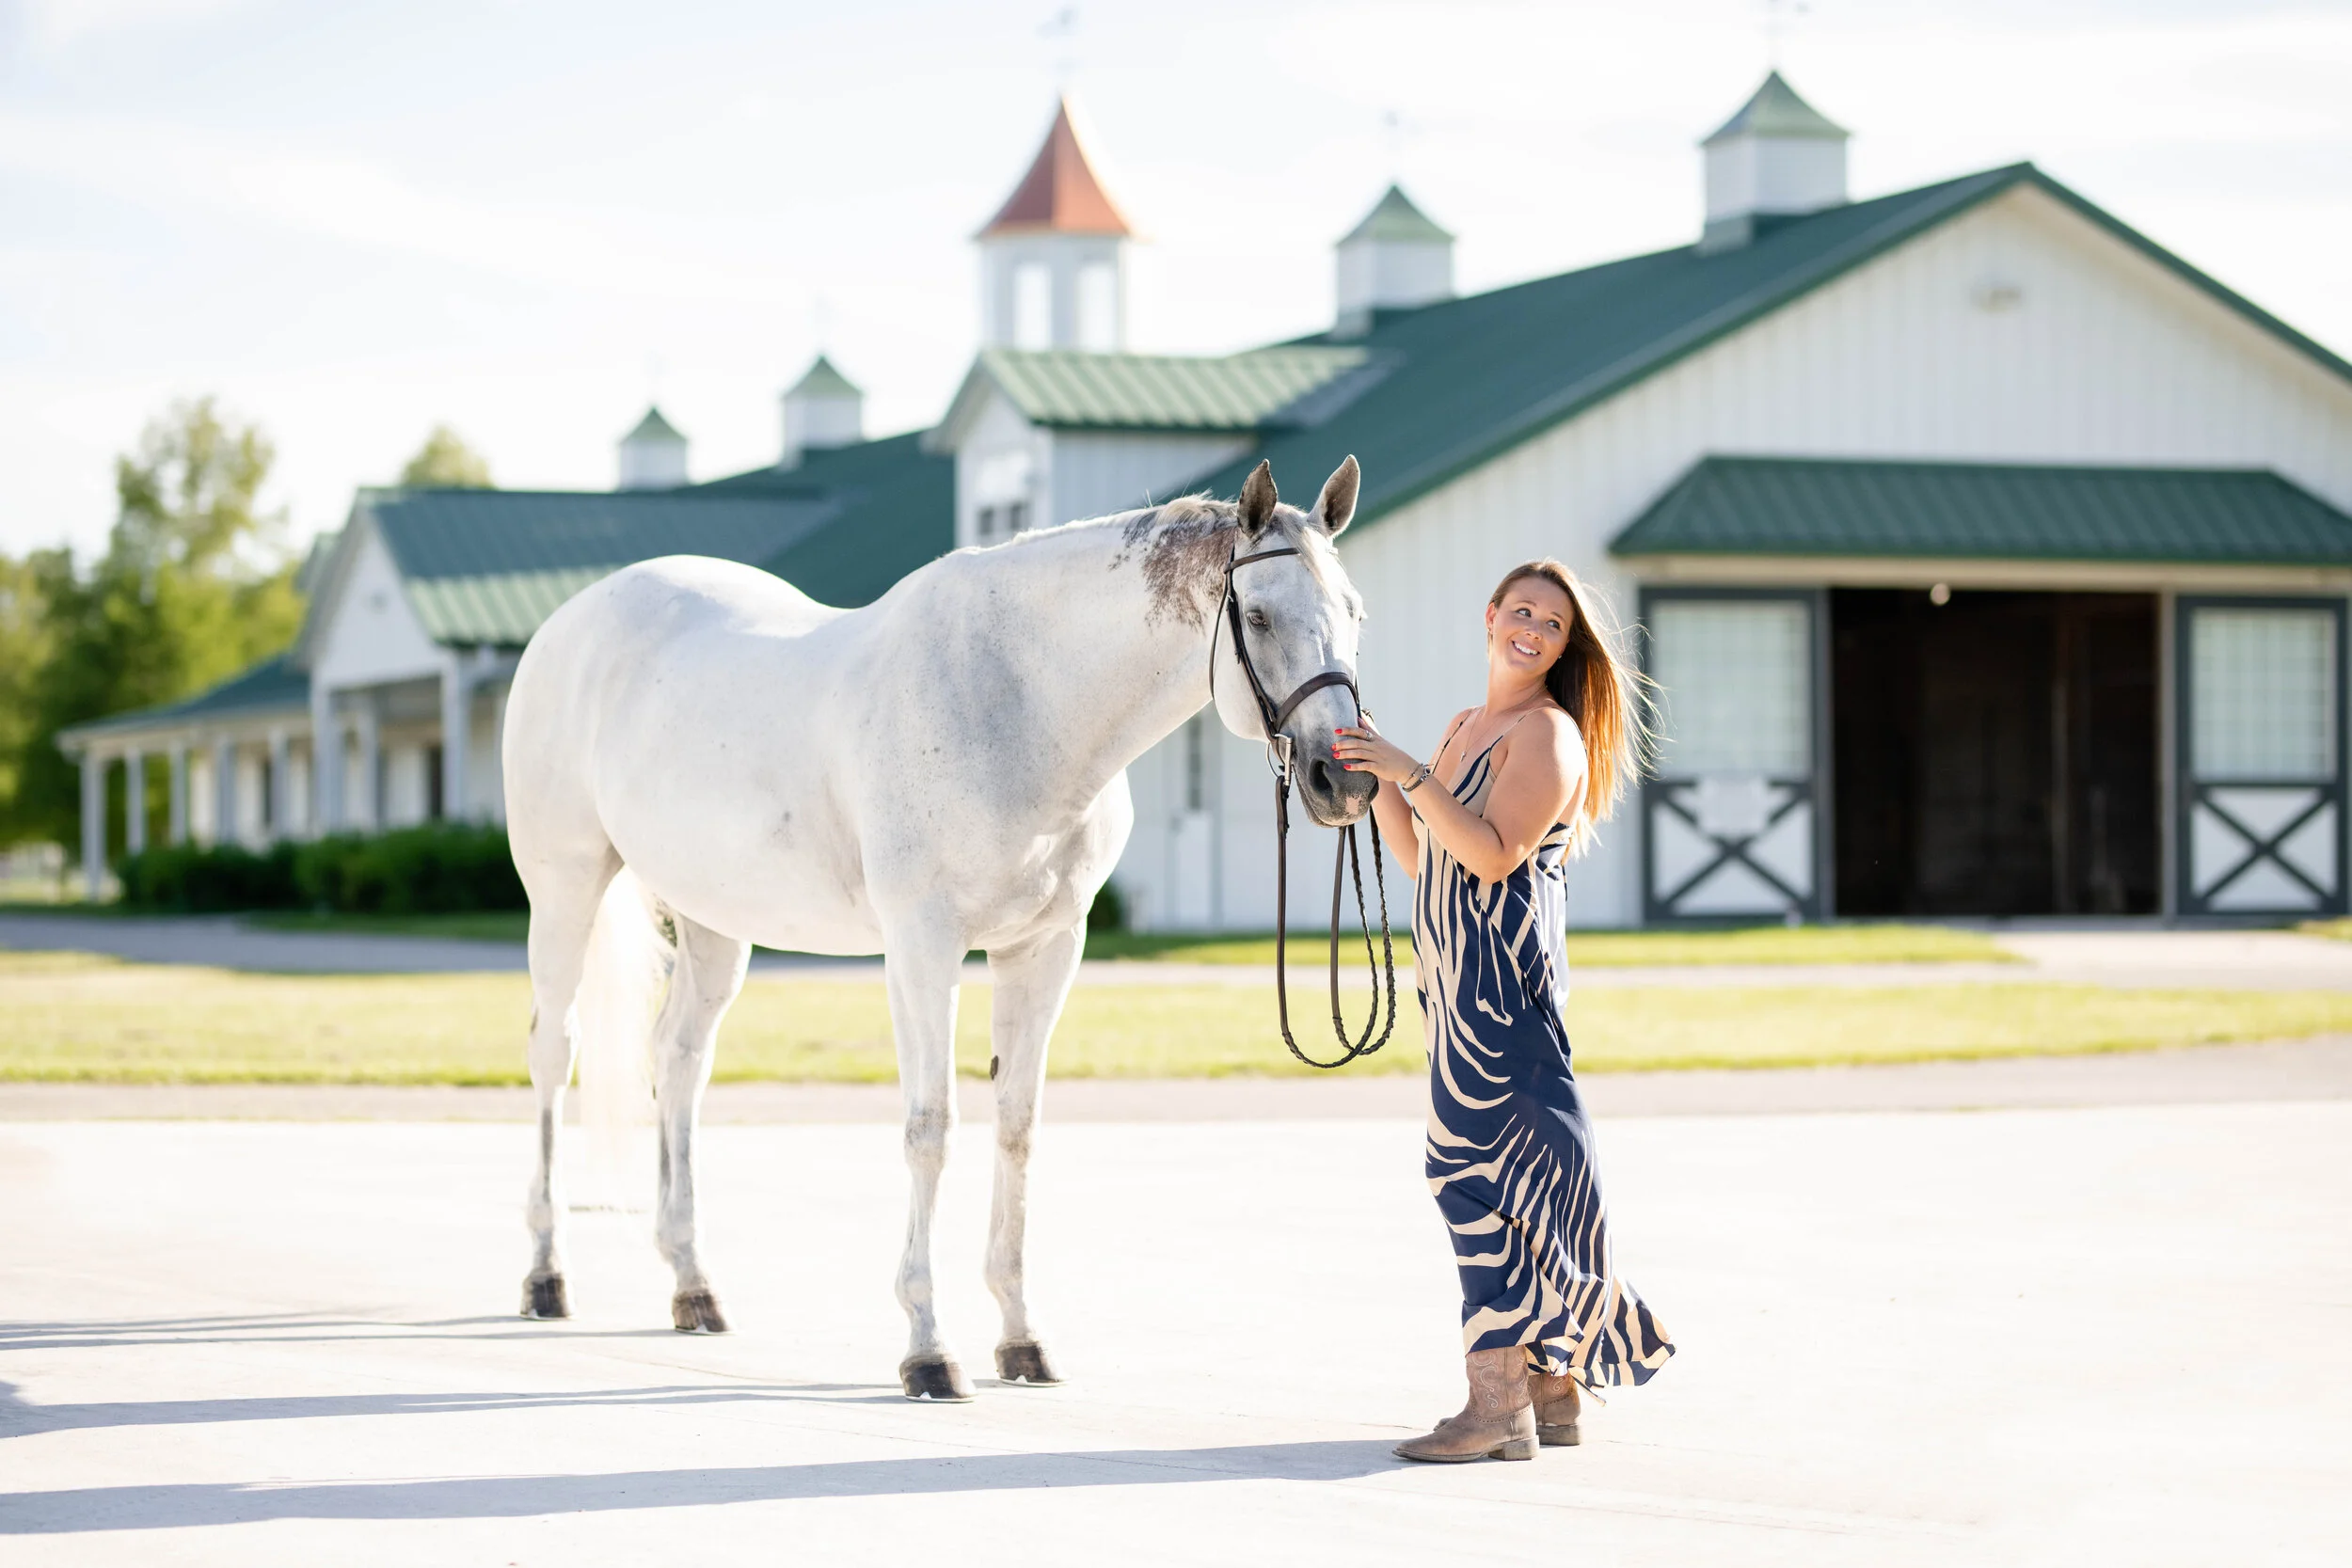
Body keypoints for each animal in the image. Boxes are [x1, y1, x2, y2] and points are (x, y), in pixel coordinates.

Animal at [500, 456, 1375, 1399]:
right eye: (1259, 614)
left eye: (1355, 614)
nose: (1342, 779)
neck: (1022, 700)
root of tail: (569, 621)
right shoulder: (923, 947)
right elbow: (931, 1127)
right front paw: (928, 1345)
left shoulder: (1045, 948)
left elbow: (1018, 1126)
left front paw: (1022, 1337)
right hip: (564, 887)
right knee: (553, 1051)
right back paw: (546, 1274)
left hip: (713, 921)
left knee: (679, 1064)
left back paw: (693, 1285)